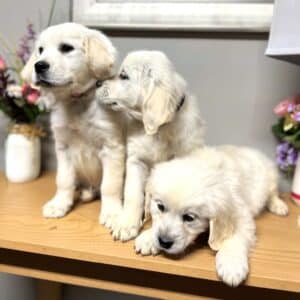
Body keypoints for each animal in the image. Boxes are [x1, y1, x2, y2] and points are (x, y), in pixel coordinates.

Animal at [21, 22, 124, 230]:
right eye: (40, 50)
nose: (39, 65)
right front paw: (60, 204)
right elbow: (64, 180)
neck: (76, 102)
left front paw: (112, 213)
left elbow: (110, 185)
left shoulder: (112, 148)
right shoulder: (63, 148)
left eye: (66, 48)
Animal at [97, 50, 205, 240]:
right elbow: (133, 195)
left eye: (124, 76)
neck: (158, 131)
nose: (97, 83)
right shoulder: (136, 161)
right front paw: (126, 224)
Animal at [136, 146, 288, 288]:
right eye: (160, 207)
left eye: (189, 218)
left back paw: (279, 206)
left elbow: (235, 237)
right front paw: (148, 238)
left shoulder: (241, 214)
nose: (164, 242)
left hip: (271, 176)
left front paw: (231, 264)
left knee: (273, 193)